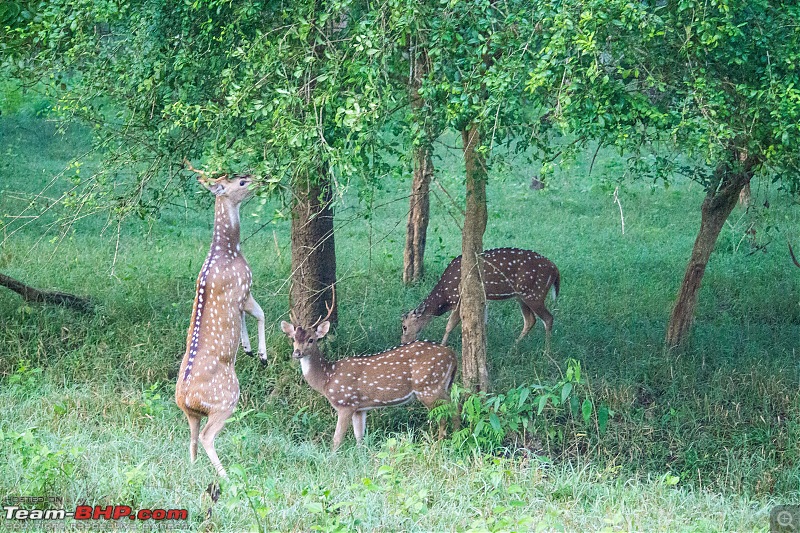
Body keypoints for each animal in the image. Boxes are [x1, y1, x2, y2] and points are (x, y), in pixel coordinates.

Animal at [174, 164, 268, 476]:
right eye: (242, 182)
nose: (263, 179)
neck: (228, 250)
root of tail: (185, 398)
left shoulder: (240, 297)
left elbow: (245, 319)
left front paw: (248, 348)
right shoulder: (243, 287)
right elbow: (259, 314)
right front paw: (260, 354)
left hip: (189, 412)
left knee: (191, 436)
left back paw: (192, 470)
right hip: (227, 398)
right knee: (206, 436)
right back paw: (226, 475)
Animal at [282, 288, 456, 450]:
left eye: (311, 339)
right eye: (293, 339)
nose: (296, 353)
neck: (327, 378)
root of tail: (452, 355)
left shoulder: (346, 403)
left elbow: (337, 440)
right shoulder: (360, 408)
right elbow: (360, 438)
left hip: (429, 387)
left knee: (447, 412)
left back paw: (441, 444)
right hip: (442, 385)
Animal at [400, 247, 564, 348]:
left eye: (404, 326)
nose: (403, 342)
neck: (445, 296)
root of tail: (555, 269)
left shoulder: (459, 298)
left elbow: (449, 325)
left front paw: (442, 345)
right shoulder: (481, 300)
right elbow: (483, 323)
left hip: (534, 293)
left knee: (548, 318)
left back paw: (546, 353)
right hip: (521, 296)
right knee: (530, 320)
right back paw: (513, 346)